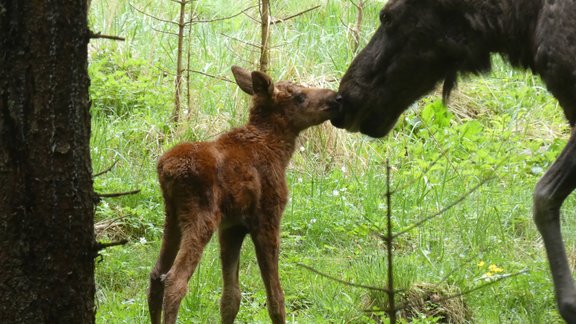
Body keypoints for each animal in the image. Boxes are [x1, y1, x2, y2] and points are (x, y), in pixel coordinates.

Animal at [146, 66, 340, 324]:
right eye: (299, 96)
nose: (335, 98)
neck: (279, 152)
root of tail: (166, 169)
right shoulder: (268, 218)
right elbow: (275, 297)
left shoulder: (232, 226)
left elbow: (231, 298)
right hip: (202, 217)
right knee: (175, 280)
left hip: (172, 216)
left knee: (155, 274)